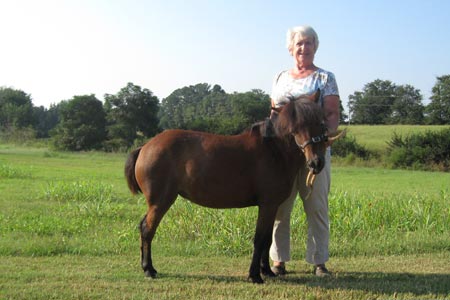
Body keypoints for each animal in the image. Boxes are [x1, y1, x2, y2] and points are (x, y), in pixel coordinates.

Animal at [125, 94, 342, 284]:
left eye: (320, 123)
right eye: (295, 128)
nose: (316, 163)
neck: (274, 150)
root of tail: (145, 147)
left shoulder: (272, 206)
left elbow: (267, 240)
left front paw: (267, 271)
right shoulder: (267, 205)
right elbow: (259, 239)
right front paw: (255, 275)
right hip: (161, 202)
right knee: (147, 229)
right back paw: (148, 269)